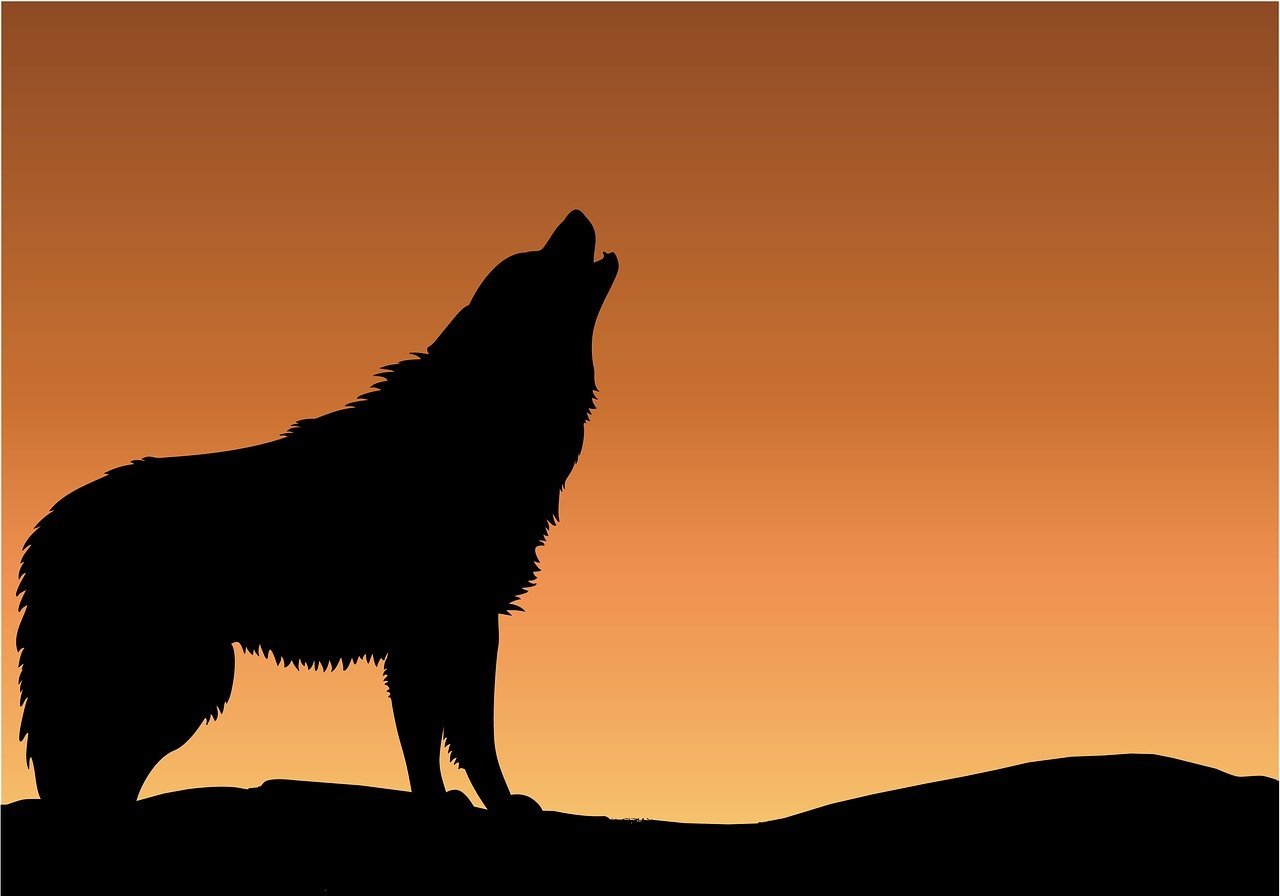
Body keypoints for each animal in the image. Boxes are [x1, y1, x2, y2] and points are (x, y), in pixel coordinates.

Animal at [16, 210, 619, 812]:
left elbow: (425, 735)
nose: (577, 214)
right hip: (184, 681)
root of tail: (46, 528)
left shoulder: (431, 634)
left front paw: (444, 799)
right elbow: (468, 734)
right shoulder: (451, 622)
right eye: (535, 260)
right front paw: (490, 801)